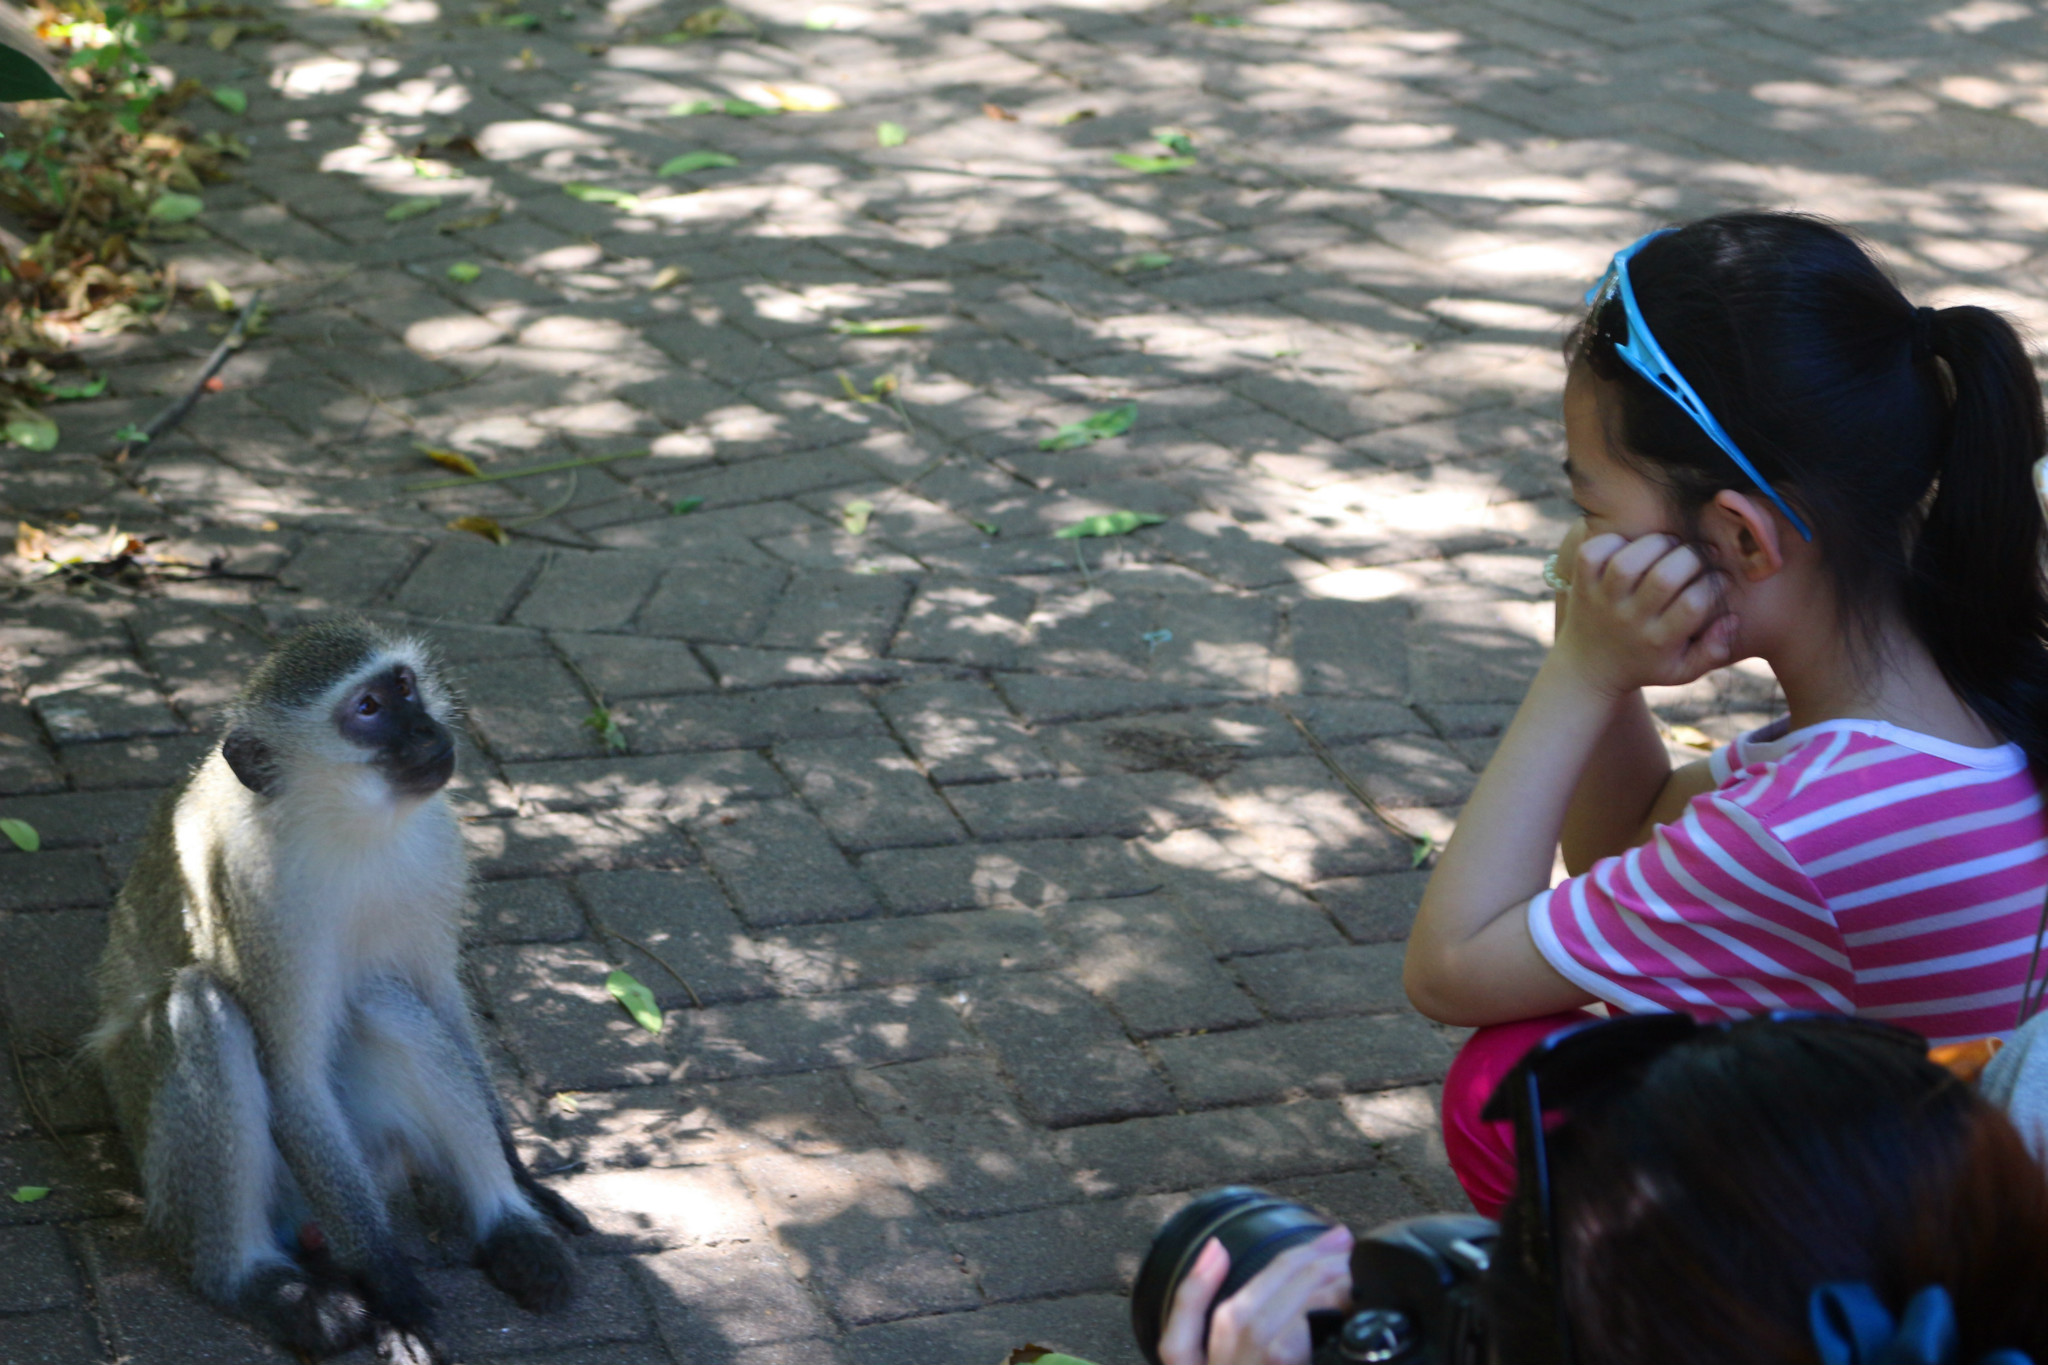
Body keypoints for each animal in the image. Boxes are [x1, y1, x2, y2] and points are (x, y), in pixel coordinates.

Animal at [96, 618, 593, 1358]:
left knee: (388, 1002)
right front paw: (392, 1289)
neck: (349, 828)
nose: (426, 730)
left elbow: (441, 998)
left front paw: (523, 1175)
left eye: (404, 686)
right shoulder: (260, 900)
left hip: (377, 1150)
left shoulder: (437, 849)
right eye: (367, 709)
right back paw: (266, 1286)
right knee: (204, 1008)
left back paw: (511, 1229)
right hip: (171, 1163)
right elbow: (294, 1078)